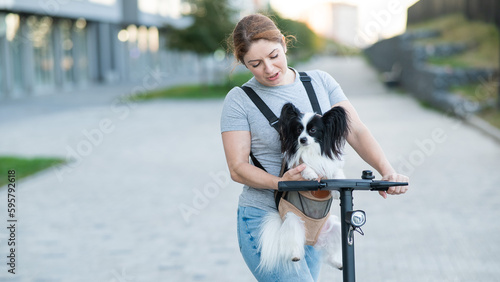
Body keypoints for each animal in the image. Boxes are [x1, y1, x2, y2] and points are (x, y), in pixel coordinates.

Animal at [258, 102, 352, 272]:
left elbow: (336, 173)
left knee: (329, 254)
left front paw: (336, 191)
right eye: (297, 130)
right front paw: (311, 175)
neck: (310, 150)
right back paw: (295, 255)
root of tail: (312, 241)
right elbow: (305, 167)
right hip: (293, 221)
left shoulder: (331, 166)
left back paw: (339, 263)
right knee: (293, 242)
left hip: (336, 228)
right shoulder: (295, 167)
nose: (302, 139)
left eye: (312, 130)